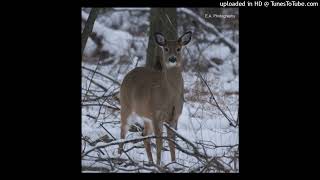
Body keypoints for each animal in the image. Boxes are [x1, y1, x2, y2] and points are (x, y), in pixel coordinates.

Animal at [118, 30, 191, 165]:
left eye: (178, 48)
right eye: (166, 48)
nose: (172, 58)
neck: (170, 96)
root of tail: (128, 74)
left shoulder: (174, 116)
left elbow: (171, 142)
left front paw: (174, 163)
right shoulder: (157, 114)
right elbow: (159, 142)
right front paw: (160, 164)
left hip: (146, 116)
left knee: (144, 135)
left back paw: (150, 162)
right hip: (126, 105)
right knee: (123, 132)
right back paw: (119, 156)